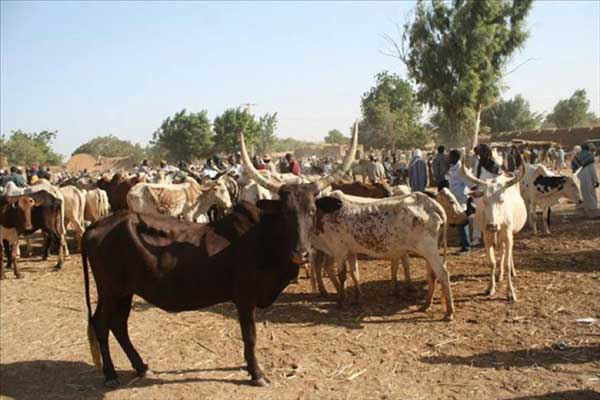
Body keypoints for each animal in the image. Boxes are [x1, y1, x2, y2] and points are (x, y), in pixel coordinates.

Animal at [82, 126, 358, 388]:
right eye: (285, 213)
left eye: (312, 211)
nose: (301, 253)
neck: (263, 238)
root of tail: (98, 225)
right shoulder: (245, 298)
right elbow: (250, 336)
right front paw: (256, 373)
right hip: (110, 290)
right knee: (101, 324)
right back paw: (110, 374)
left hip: (124, 291)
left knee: (118, 324)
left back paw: (141, 367)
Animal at [310, 189, 454, 320]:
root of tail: (430, 204)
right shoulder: (351, 251)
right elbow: (354, 273)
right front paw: (357, 298)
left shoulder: (339, 249)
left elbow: (342, 275)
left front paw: (341, 301)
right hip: (431, 251)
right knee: (432, 275)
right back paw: (426, 304)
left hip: (429, 250)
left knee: (443, 274)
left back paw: (449, 312)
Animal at [462, 158, 528, 302]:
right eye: (484, 201)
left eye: (502, 200)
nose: (492, 226)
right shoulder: (487, 239)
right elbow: (492, 263)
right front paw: (490, 288)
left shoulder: (508, 238)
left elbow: (507, 263)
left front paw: (510, 292)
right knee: (502, 253)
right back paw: (499, 275)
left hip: (512, 234)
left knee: (508, 255)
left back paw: (512, 271)